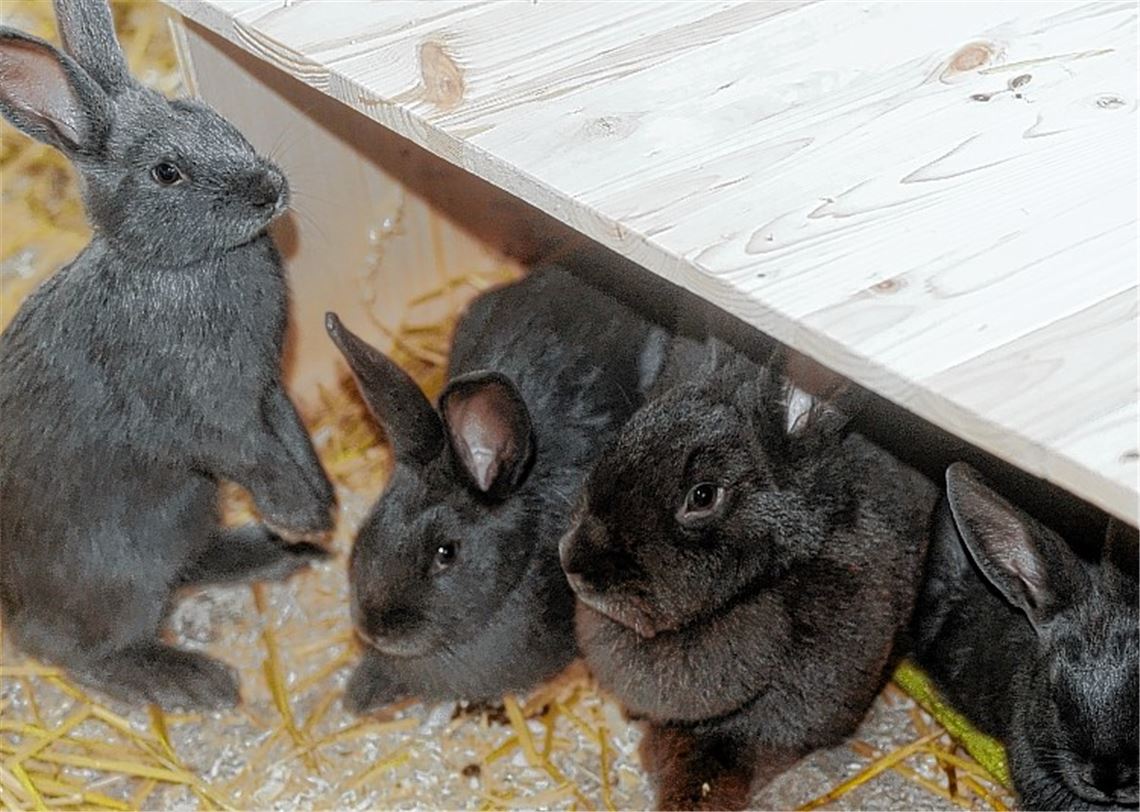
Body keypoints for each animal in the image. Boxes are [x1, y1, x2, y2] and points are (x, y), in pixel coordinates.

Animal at [0, 0, 334, 710]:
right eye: (166, 172)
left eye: (206, 115)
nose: (270, 189)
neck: (180, 266)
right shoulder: (207, 419)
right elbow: (256, 457)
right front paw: (297, 515)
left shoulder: (266, 389)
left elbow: (291, 434)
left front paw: (319, 512)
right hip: (121, 574)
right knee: (74, 652)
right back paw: (197, 681)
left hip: (189, 511)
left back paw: (278, 554)